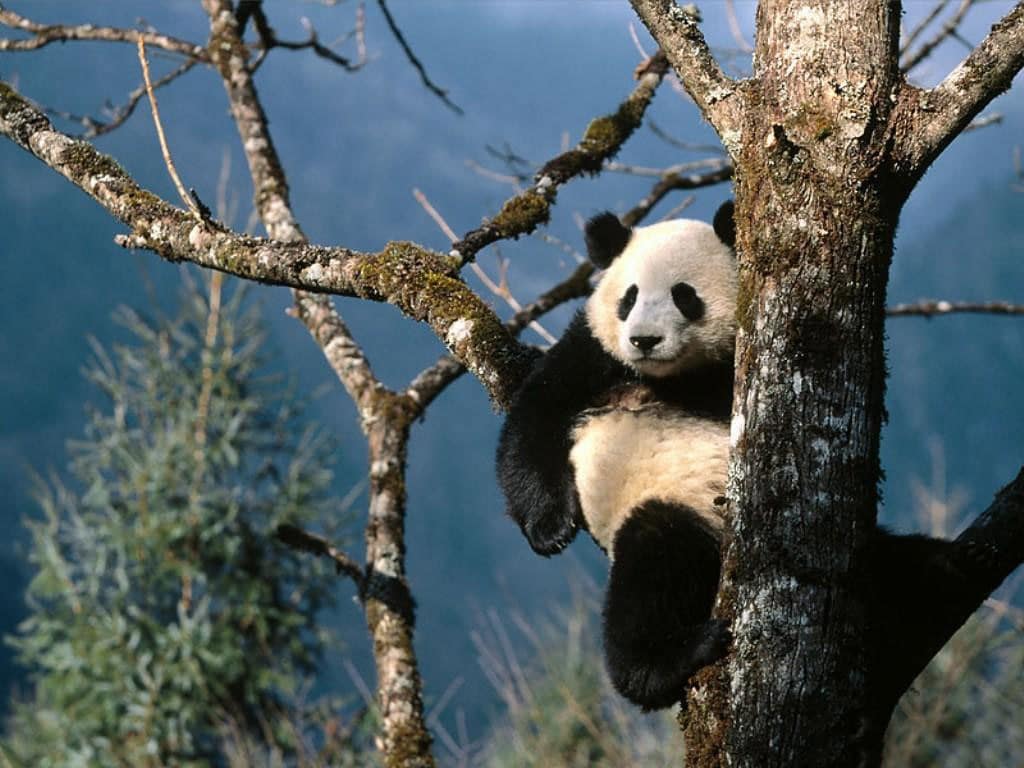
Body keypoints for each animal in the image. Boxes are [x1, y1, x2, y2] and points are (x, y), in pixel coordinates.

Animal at [496, 202, 737, 711]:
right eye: (629, 297)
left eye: (684, 296)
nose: (644, 340)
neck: (670, 376)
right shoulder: (593, 351)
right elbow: (534, 421)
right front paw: (550, 530)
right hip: (676, 507)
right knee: (656, 565)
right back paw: (668, 660)